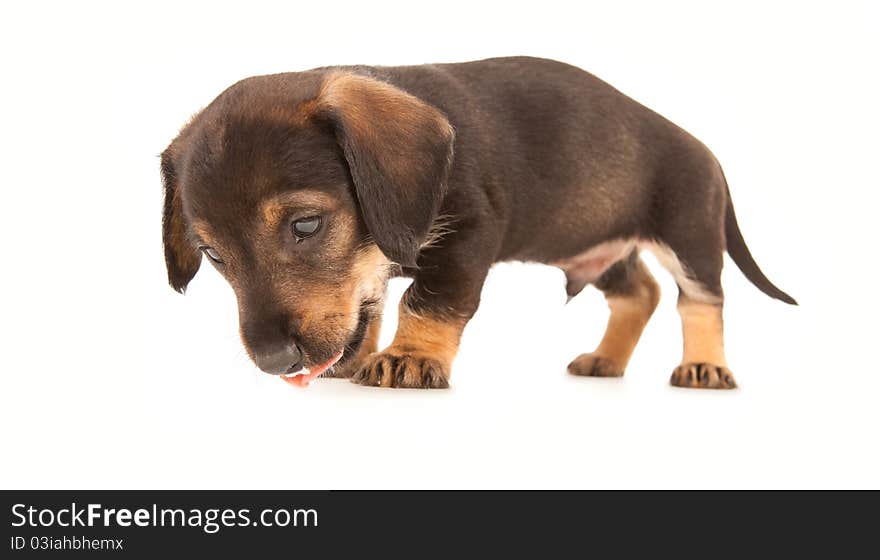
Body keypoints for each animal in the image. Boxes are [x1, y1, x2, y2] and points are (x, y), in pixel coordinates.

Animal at [160, 57, 796, 390]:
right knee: (640, 293)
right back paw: (606, 360)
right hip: (599, 246)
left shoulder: (466, 237)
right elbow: (371, 303)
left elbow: (426, 300)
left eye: (306, 225)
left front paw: (410, 358)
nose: (276, 363)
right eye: (213, 255)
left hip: (690, 236)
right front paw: (362, 356)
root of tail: (706, 151)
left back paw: (705, 365)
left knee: (701, 301)